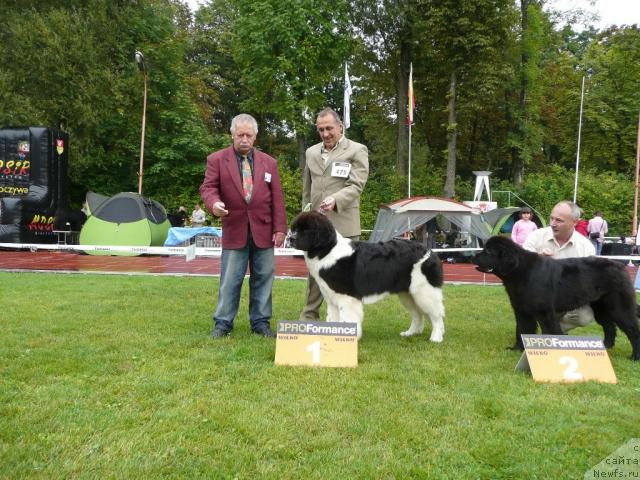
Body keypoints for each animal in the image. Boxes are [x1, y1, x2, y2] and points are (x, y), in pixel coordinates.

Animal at [290, 211, 444, 342]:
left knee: (437, 315)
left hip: (425, 292)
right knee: (417, 314)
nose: (290, 238)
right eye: (295, 228)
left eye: (306, 229)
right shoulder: (332, 298)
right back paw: (411, 333)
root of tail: (430, 251)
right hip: (408, 294)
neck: (327, 250)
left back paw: (436, 338)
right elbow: (333, 319)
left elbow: (347, 319)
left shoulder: (347, 298)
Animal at [472, 236, 636, 360]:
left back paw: (634, 357)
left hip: (619, 308)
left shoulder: (544, 312)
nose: (473, 256)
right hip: (601, 308)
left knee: (633, 329)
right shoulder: (521, 310)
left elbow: (550, 330)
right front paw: (517, 349)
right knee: (610, 327)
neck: (519, 272)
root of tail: (621, 266)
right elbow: (522, 329)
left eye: (488, 250)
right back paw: (605, 346)